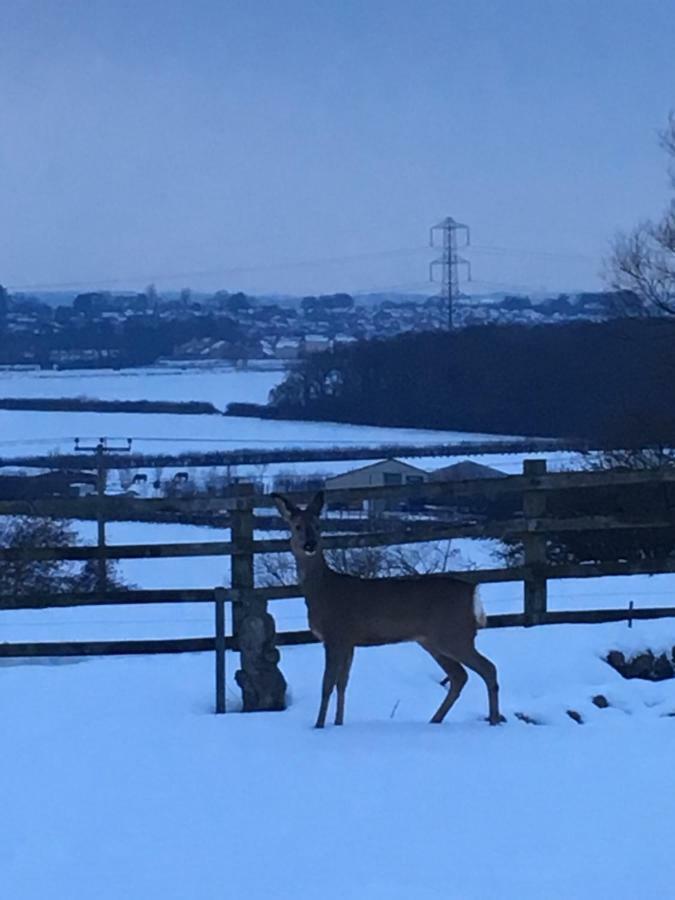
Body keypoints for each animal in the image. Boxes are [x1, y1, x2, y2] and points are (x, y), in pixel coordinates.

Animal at [274, 492, 502, 732]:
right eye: (297, 526)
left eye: (318, 526)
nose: (310, 544)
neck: (321, 590)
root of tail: (472, 592)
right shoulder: (348, 641)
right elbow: (342, 684)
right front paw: (338, 724)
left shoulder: (335, 634)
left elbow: (327, 684)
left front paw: (318, 726)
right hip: (433, 641)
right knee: (460, 675)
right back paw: (435, 720)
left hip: (454, 634)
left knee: (488, 668)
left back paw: (493, 720)